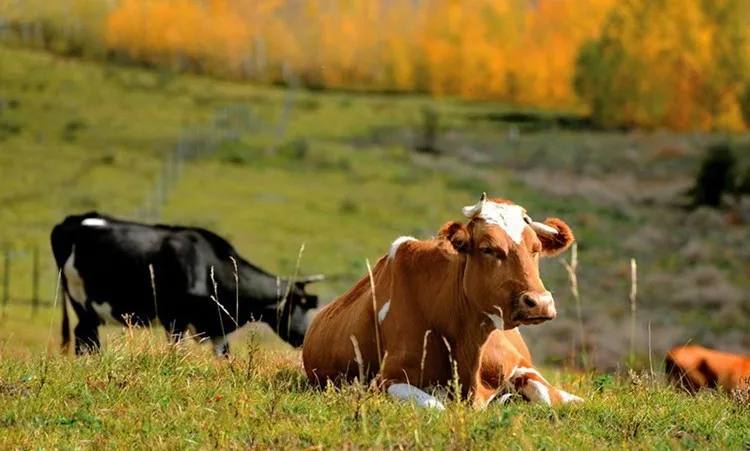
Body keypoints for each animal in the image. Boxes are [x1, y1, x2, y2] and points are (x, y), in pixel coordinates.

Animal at [49, 212, 326, 356]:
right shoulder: (175, 319)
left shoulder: (215, 328)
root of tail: (72, 220)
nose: (306, 337)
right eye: (299, 305)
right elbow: (177, 351)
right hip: (81, 300)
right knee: (86, 337)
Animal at [302, 192, 584, 412]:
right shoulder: (387, 379)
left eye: (535, 248)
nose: (540, 302)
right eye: (488, 248)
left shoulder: (521, 365)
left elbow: (553, 397)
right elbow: (436, 406)